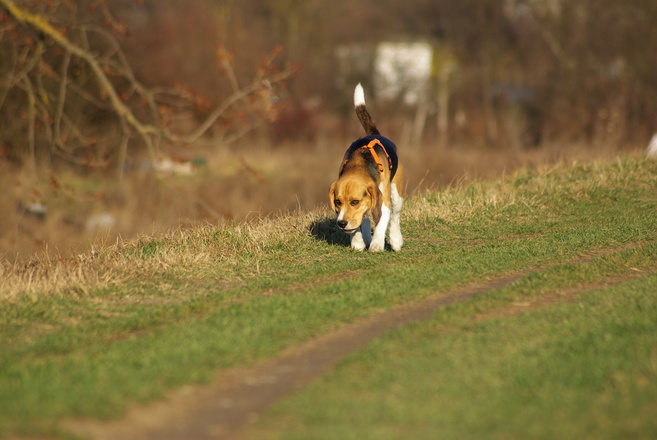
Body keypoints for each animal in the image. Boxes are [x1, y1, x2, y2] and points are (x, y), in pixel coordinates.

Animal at [328, 84, 404, 253]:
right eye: (337, 201)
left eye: (355, 202)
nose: (341, 223)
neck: (359, 165)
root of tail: (374, 134)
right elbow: (358, 225)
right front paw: (357, 242)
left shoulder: (383, 202)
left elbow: (382, 221)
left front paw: (377, 244)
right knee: (367, 218)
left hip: (396, 193)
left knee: (394, 216)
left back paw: (395, 240)